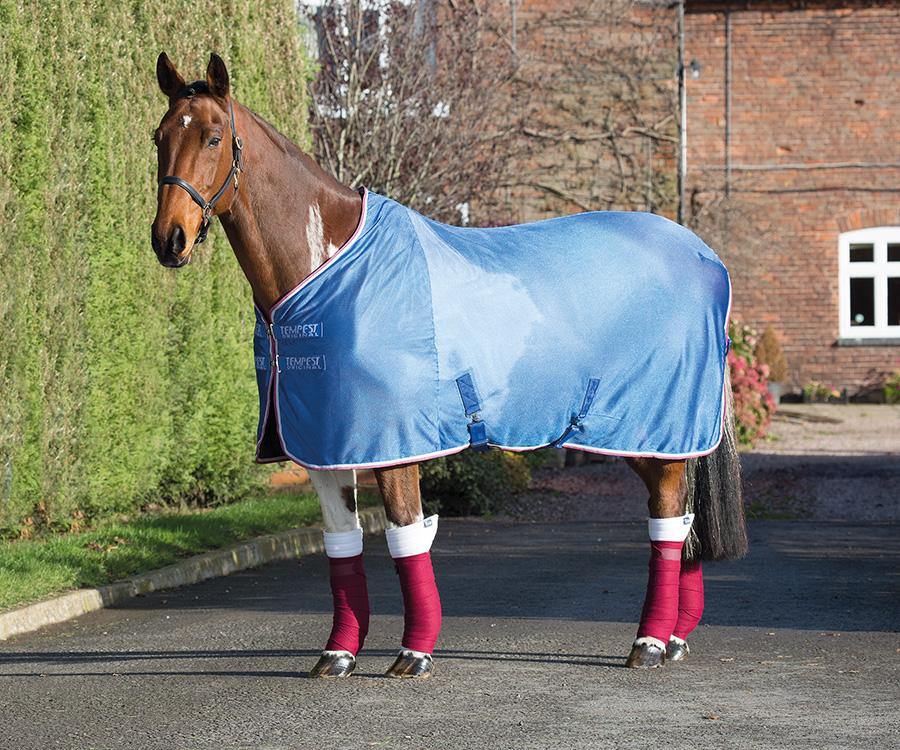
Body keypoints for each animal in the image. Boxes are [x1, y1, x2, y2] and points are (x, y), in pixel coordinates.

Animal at [151, 53, 747, 679]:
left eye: (214, 136)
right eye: (159, 136)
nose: (169, 239)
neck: (325, 270)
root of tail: (705, 256)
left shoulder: (393, 446)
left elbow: (405, 538)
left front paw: (413, 653)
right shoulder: (322, 444)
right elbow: (342, 543)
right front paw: (338, 654)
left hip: (651, 428)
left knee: (667, 519)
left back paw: (649, 642)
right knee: (684, 521)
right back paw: (675, 638)